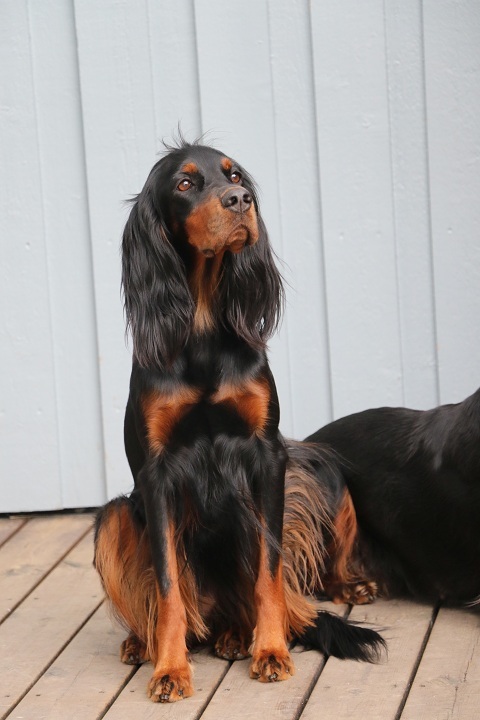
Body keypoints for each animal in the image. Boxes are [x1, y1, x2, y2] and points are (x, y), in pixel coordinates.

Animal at [94, 141, 384, 703]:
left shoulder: (266, 455)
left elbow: (269, 572)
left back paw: (240, 633)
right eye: (185, 184)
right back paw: (144, 643)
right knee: (168, 599)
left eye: (233, 175)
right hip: (120, 515)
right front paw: (170, 669)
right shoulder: (156, 475)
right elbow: (167, 585)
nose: (240, 201)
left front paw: (270, 650)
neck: (204, 321)